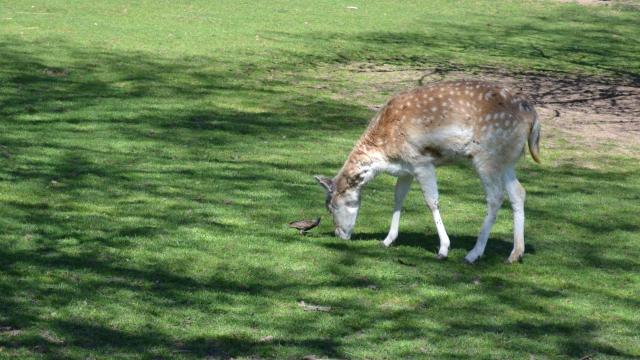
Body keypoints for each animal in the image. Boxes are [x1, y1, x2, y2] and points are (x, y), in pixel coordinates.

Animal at [316, 80, 540, 262]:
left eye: (332, 206)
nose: (339, 234)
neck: (385, 154)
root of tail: (533, 117)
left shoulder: (421, 161)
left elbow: (431, 201)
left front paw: (443, 249)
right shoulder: (406, 169)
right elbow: (398, 198)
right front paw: (387, 240)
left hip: (486, 157)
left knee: (496, 196)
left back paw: (473, 254)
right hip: (507, 161)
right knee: (518, 192)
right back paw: (515, 253)